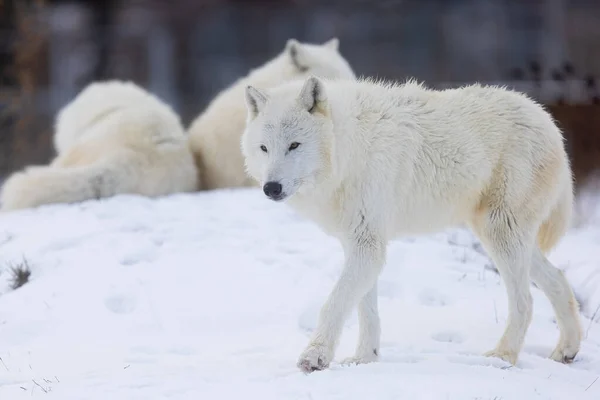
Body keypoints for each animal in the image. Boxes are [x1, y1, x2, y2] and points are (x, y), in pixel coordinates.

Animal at [241, 75, 584, 372]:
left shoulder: (368, 244)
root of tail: (547, 120)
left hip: (501, 235)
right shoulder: (361, 243)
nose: (271, 188)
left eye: (294, 145)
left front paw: (315, 356)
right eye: (264, 148)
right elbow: (365, 311)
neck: (350, 150)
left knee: (525, 301)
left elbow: (335, 303)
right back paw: (567, 350)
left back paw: (503, 356)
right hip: (503, 237)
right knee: (558, 280)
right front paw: (364, 359)